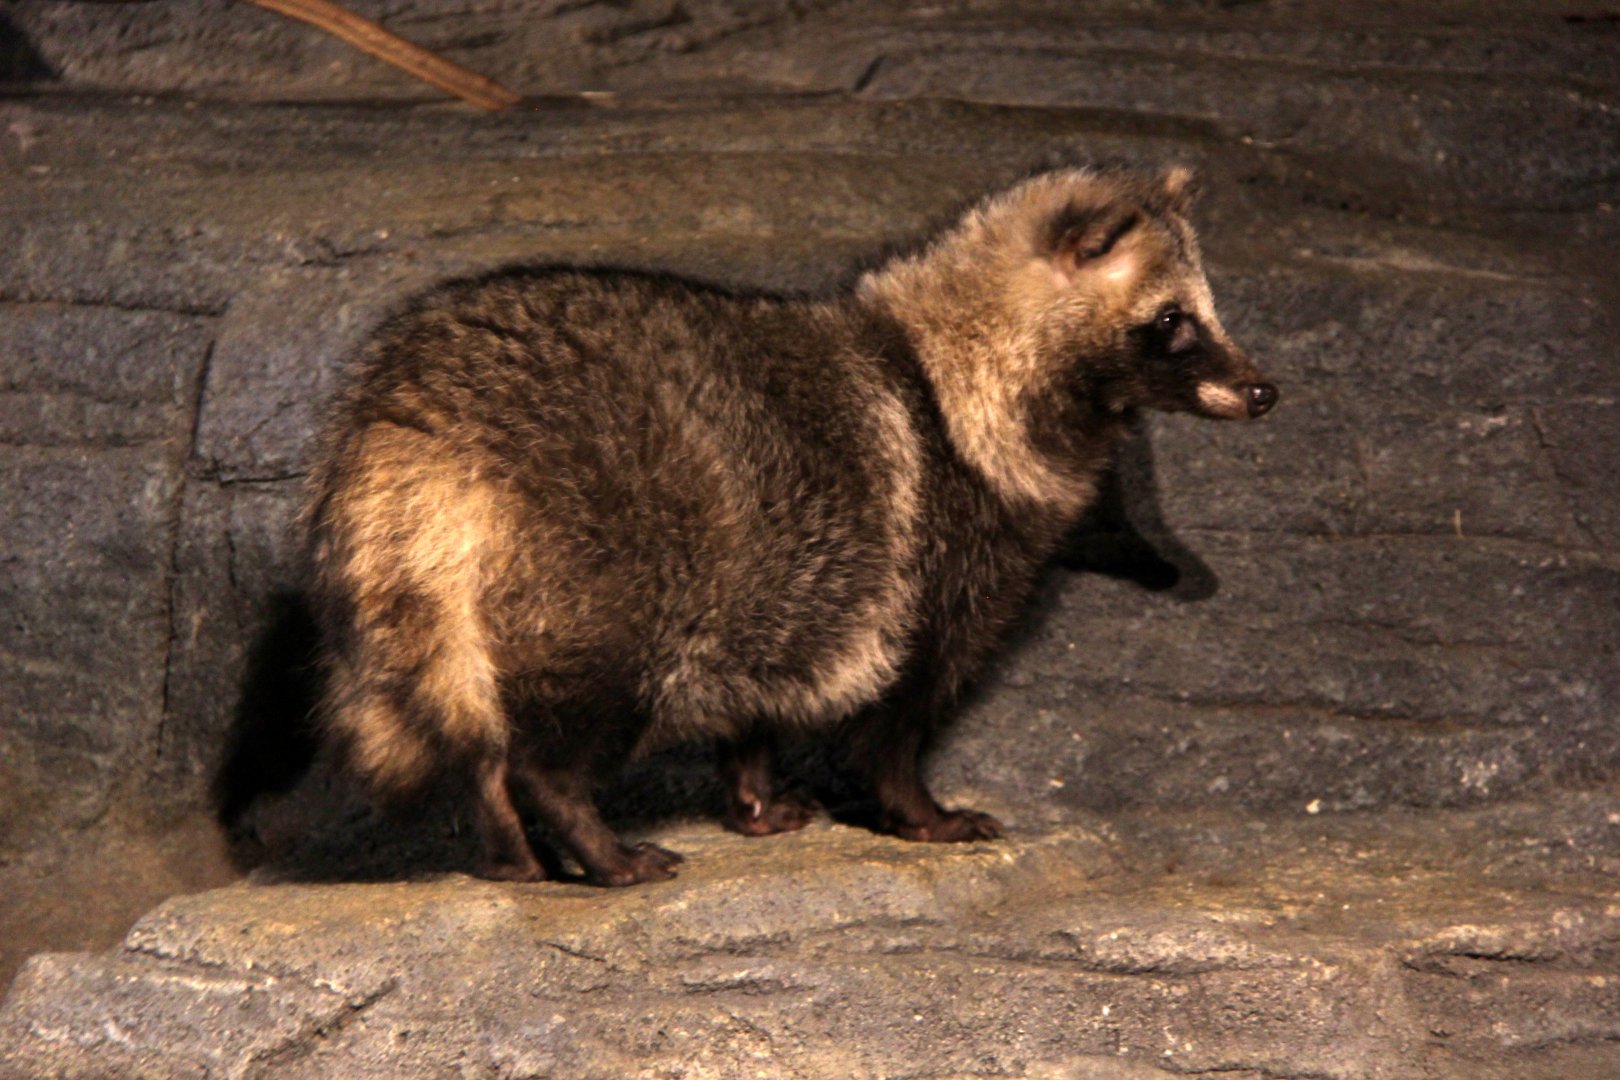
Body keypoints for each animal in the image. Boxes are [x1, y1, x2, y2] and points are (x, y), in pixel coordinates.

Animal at [304, 166, 1276, 885]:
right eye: (1173, 321)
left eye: (1206, 311)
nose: (1265, 391)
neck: (953, 358)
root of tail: (419, 416)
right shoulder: (940, 548)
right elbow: (899, 709)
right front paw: (915, 808)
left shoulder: (791, 592)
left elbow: (765, 690)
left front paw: (754, 791)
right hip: (598, 568)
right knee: (559, 730)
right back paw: (587, 835)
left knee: (467, 725)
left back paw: (508, 842)